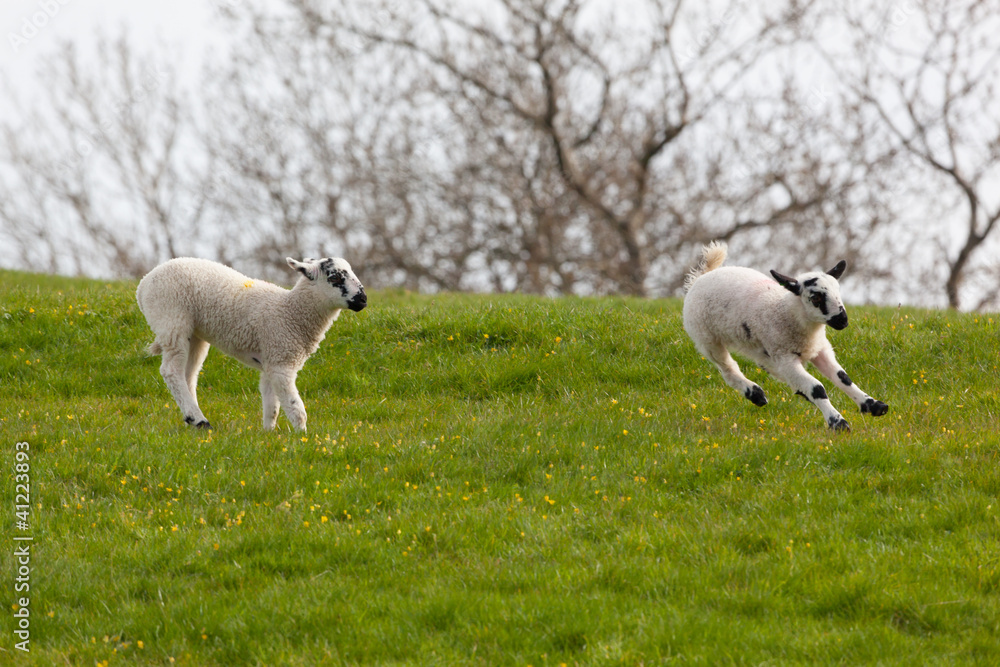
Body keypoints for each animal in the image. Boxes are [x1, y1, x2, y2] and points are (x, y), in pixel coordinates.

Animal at [136, 256, 367, 432]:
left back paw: (192, 419)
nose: (363, 300)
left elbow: (272, 404)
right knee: (171, 371)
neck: (290, 311)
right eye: (335, 277)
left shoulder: (271, 360)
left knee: (188, 374)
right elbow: (296, 407)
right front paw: (303, 437)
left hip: (194, 334)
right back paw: (200, 420)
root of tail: (143, 284)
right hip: (172, 319)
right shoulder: (281, 361)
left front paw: (268, 433)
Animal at [682, 242, 888, 431]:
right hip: (706, 338)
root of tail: (701, 276)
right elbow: (817, 388)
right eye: (815, 297)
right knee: (728, 369)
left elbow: (843, 378)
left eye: (838, 291)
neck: (788, 312)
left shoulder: (819, 348)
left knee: (767, 367)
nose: (842, 320)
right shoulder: (786, 358)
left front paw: (874, 406)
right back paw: (756, 394)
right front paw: (838, 423)